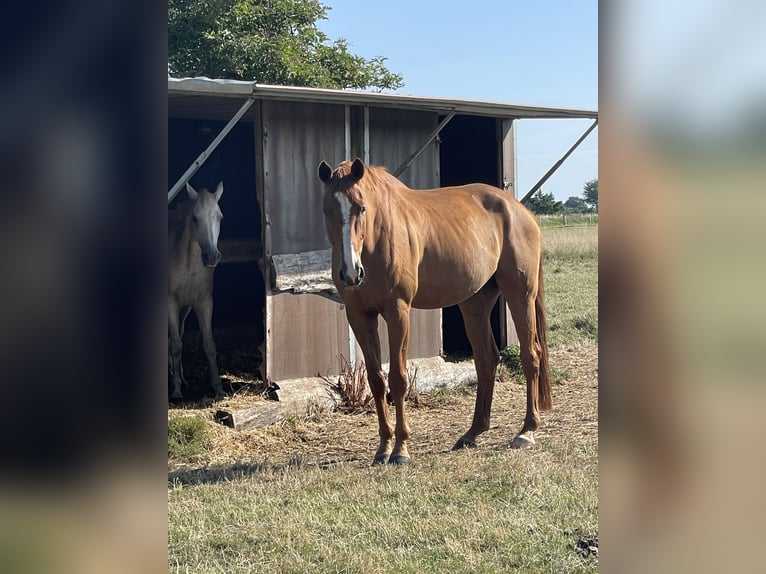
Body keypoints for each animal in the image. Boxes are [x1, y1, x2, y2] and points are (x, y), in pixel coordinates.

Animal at [318, 160, 552, 466]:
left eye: (361, 207)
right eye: (326, 210)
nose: (350, 273)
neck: (378, 235)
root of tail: (521, 211)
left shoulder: (398, 311)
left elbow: (398, 379)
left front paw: (401, 449)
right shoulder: (359, 316)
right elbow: (376, 380)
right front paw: (383, 448)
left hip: (520, 293)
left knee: (531, 355)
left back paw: (526, 431)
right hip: (475, 302)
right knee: (486, 360)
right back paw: (472, 433)